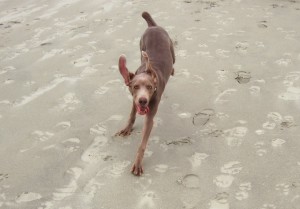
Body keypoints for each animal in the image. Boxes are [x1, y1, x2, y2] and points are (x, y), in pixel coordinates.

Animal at [116, 11, 175, 175]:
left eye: (149, 87)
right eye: (135, 86)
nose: (143, 100)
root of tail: (152, 26)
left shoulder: (150, 116)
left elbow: (142, 144)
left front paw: (137, 163)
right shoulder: (134, 100)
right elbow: (131, 114)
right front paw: (127, 128)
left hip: (171, 46)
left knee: (174, 60)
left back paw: (173, 70)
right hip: (141, 44)